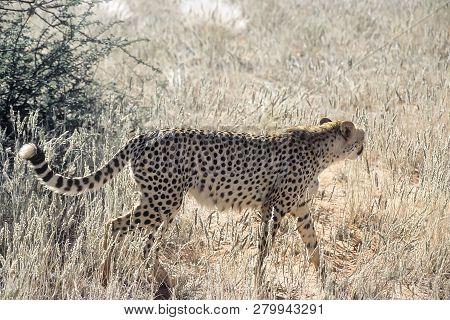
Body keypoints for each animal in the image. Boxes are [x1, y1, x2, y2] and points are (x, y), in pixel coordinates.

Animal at [18, 117, 366, 288]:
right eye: (361, 138)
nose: (365, 146)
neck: (321, 148)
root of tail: (147, 134)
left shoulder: (301, 210)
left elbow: (314, 246)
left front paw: (326, 281)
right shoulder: (274, 209)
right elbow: (265, 249)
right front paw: (258, 283)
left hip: (165, 203)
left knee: (146, 245)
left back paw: (161, 280)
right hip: (163, 201)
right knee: (116, 225)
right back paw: (106, 276)